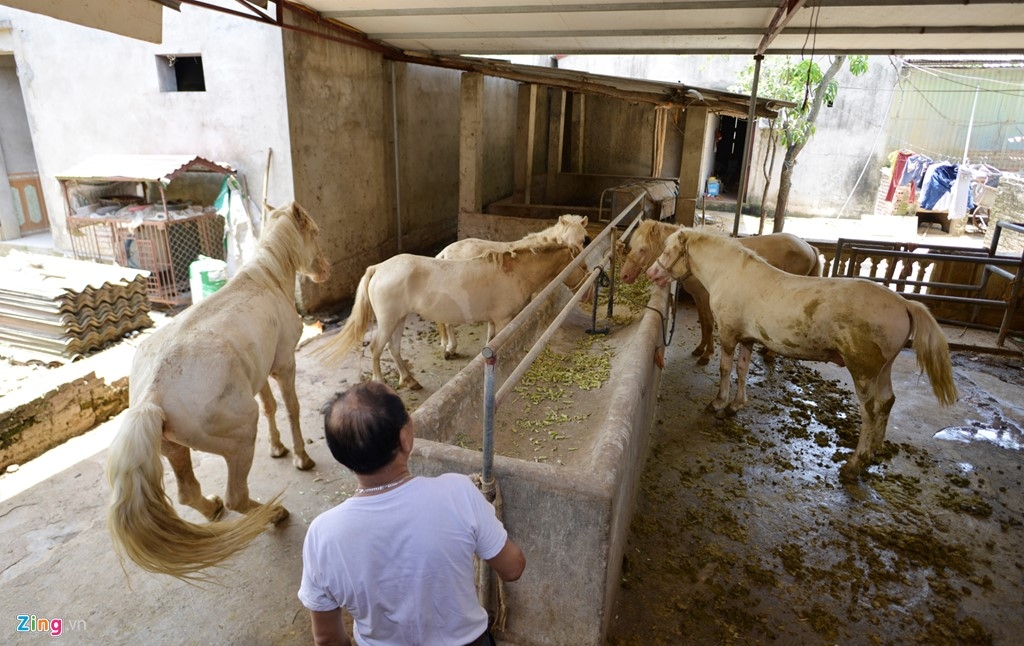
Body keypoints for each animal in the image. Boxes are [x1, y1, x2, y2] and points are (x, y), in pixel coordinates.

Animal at [103, 203, 327, 581]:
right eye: (313, 230)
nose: (325, 270)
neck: (267, 279)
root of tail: (151, 397)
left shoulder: (260, 372)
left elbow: (270, 406)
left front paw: (277, 448)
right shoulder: (284, 364)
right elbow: (291, 408)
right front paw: (300, 457)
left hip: (174, 449)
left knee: (188, 493)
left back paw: (213, 509)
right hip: (240, 438)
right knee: (237, 495)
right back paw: (273, 514)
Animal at [315, 237, 589, 389]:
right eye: (582, 264)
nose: (585, 292)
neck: (515, 272)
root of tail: (378, 268)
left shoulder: (494, 321)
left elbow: (489, 341)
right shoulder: (504, 320)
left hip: (399, 319)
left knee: (394, 348)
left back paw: (409, 380)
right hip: (388, 320)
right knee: (376, 349)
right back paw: (381, 383)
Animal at [614, 219, 823, 364]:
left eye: (642, 249)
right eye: (631, 247)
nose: (624, 276)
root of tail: (808, 246)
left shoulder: (705, 298)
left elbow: (708, 323)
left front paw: (706, 354)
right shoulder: (698, 298)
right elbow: (704, 323)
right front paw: (701, 348)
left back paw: (770, 354)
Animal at [647, 227, 958, 481]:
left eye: (667, 251)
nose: (652, 274)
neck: (731, 274)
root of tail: (904, 304)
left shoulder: (728, 336)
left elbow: (725, 370)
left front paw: (718, 403)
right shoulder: (747, 339)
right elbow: (743, 370)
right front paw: (735, 406)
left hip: (863, 372)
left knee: (871, 411)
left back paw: (854, 464)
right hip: (882, 370)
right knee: (887, 403)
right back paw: (873, 453)